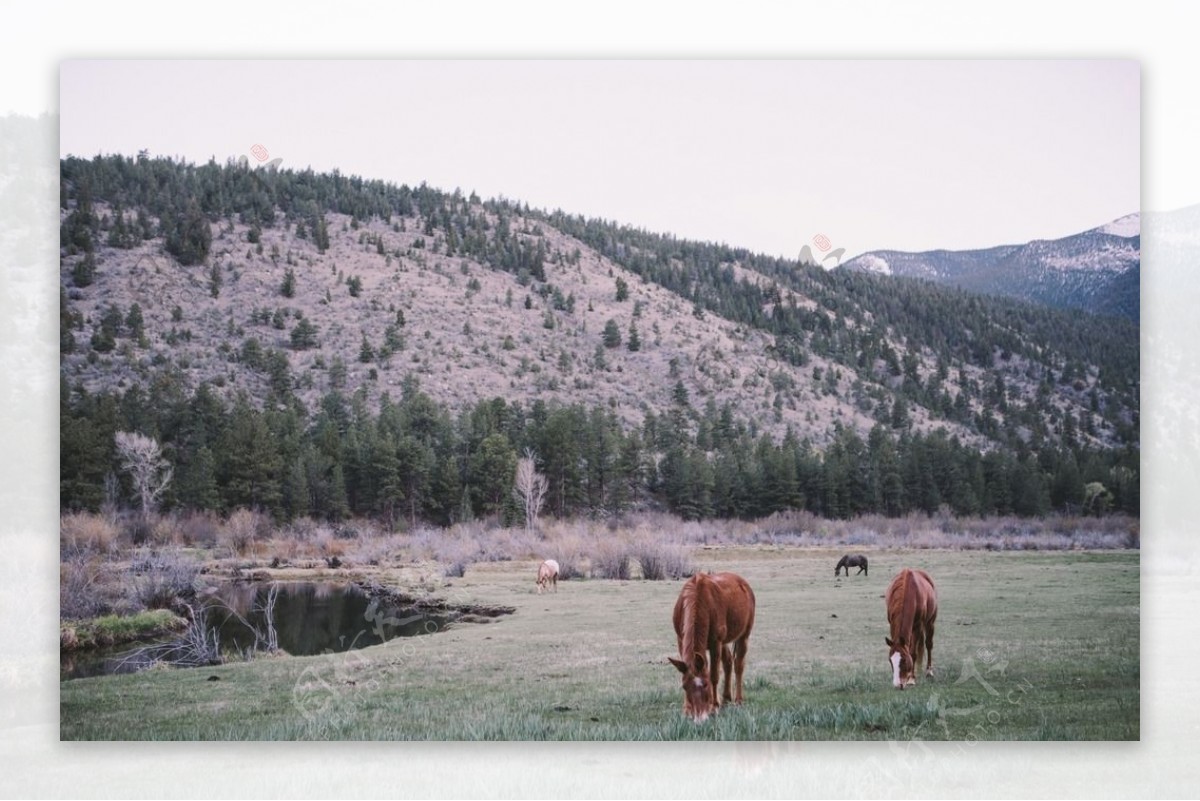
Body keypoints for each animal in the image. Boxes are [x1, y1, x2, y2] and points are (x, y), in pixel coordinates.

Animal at [672, 573, 753, 724]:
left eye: (705, 685)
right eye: (685, 686)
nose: (699, 719)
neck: (699, 600)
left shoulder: (716, 643)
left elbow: (714, 675)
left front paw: (714, 706)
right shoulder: (680, 639)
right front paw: (687, 709)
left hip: (743, 636)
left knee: (739, 665)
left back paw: (738, 700)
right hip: (724, 641)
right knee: (728, 662)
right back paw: (726, 698)